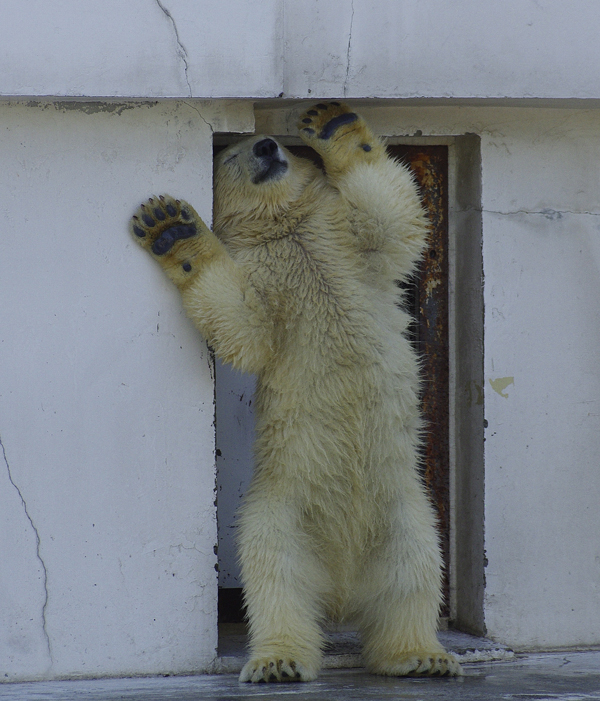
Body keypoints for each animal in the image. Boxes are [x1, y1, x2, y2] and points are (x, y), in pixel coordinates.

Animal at [130, 102, 460, 680]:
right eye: (231, 153)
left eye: (278, 142)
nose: (267, 147)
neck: (288, 230)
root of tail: (343, 594)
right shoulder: (263, 275)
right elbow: (245, 327)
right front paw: (170, 227)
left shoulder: (345, 244)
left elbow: (391, 219)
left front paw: (331, 125)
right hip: (279, 513)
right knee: (275, 580)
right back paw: (279, 660)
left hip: (407, 512)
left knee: (415, 574)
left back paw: (420, 655)